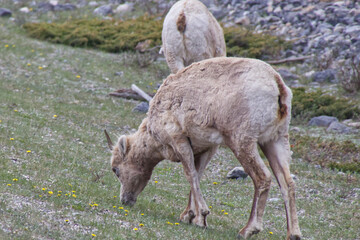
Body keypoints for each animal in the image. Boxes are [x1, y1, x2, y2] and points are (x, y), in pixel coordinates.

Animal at [106, 56, 300, 240]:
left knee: (263, 178)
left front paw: (201, 217)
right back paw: (293, 234)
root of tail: (278, 87)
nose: (125, 200)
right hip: (275, 140)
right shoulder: (207, 148)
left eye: (116, 169)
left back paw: (247, 230)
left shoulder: (179, 140)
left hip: (242, 141)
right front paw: (190, 216)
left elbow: (191, 175)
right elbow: (197, 175)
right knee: (287, 182)